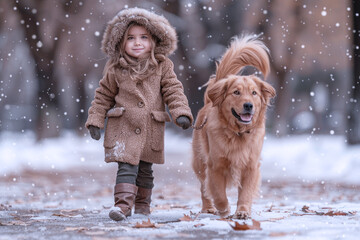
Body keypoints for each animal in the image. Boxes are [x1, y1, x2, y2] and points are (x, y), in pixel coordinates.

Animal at [193, 34, 274, 219]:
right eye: (236, 92)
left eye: (254, 93)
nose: (248, 105)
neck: (238, 133)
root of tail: (209, 100)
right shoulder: (215, 165)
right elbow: (218, 193)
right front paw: (223, 209)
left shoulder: (251, 166)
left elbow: (245, 193)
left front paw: (243, 211)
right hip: (199, 162)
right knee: (203, 187)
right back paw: (208, 208)